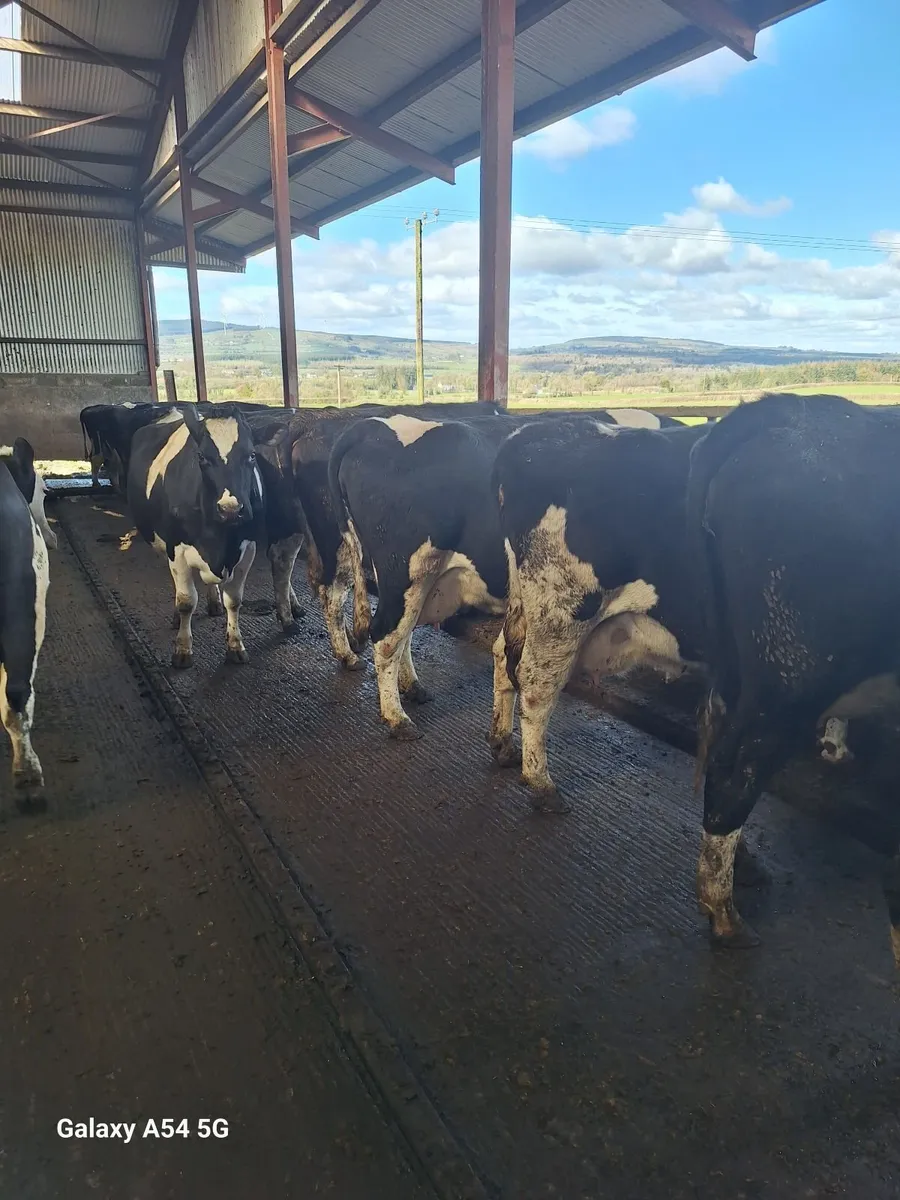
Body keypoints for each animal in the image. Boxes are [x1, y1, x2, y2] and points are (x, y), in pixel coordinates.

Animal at [127, 406, 266, 670]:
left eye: (252, 455)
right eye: (201, 457)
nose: (231, 509)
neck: (219, 540)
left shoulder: (249, 549)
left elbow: (235, 600)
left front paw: (235, 645)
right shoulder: (176, 550)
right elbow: (186, 601)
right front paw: (182, 650)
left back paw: (214, 602)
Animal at [490, 417, 708, 809]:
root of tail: (526, 435)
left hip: (524, 601)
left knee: (503, 653)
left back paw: (502, 744)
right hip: (563, 612)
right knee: (534, 682)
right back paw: (542, 784)